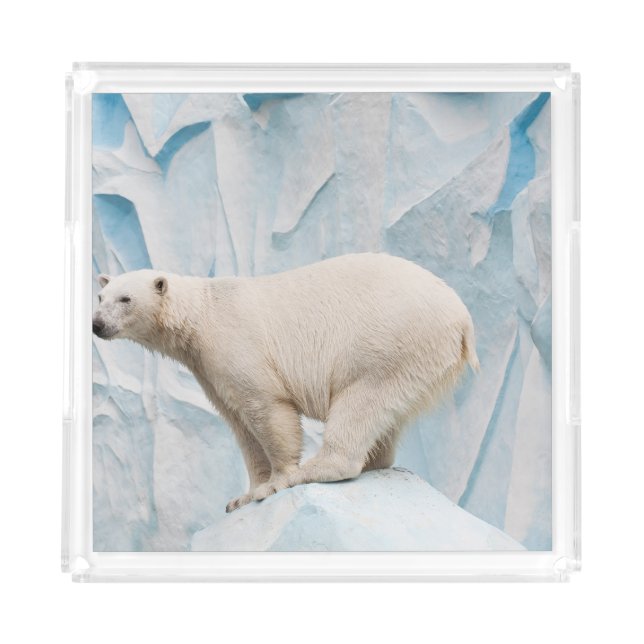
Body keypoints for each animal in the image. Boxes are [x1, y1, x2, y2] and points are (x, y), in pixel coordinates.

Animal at [92, 252, 479, 512]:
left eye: (126, 299)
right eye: (100, 297)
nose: (96, 324)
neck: (203, 315)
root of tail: (462, 318)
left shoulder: (237, 344)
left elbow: (267, 409)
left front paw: (276, 482)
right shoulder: (209, 371)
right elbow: (240, 424)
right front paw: (243, 496)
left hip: (390, 340)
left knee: (361, 401)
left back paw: (316, 469)